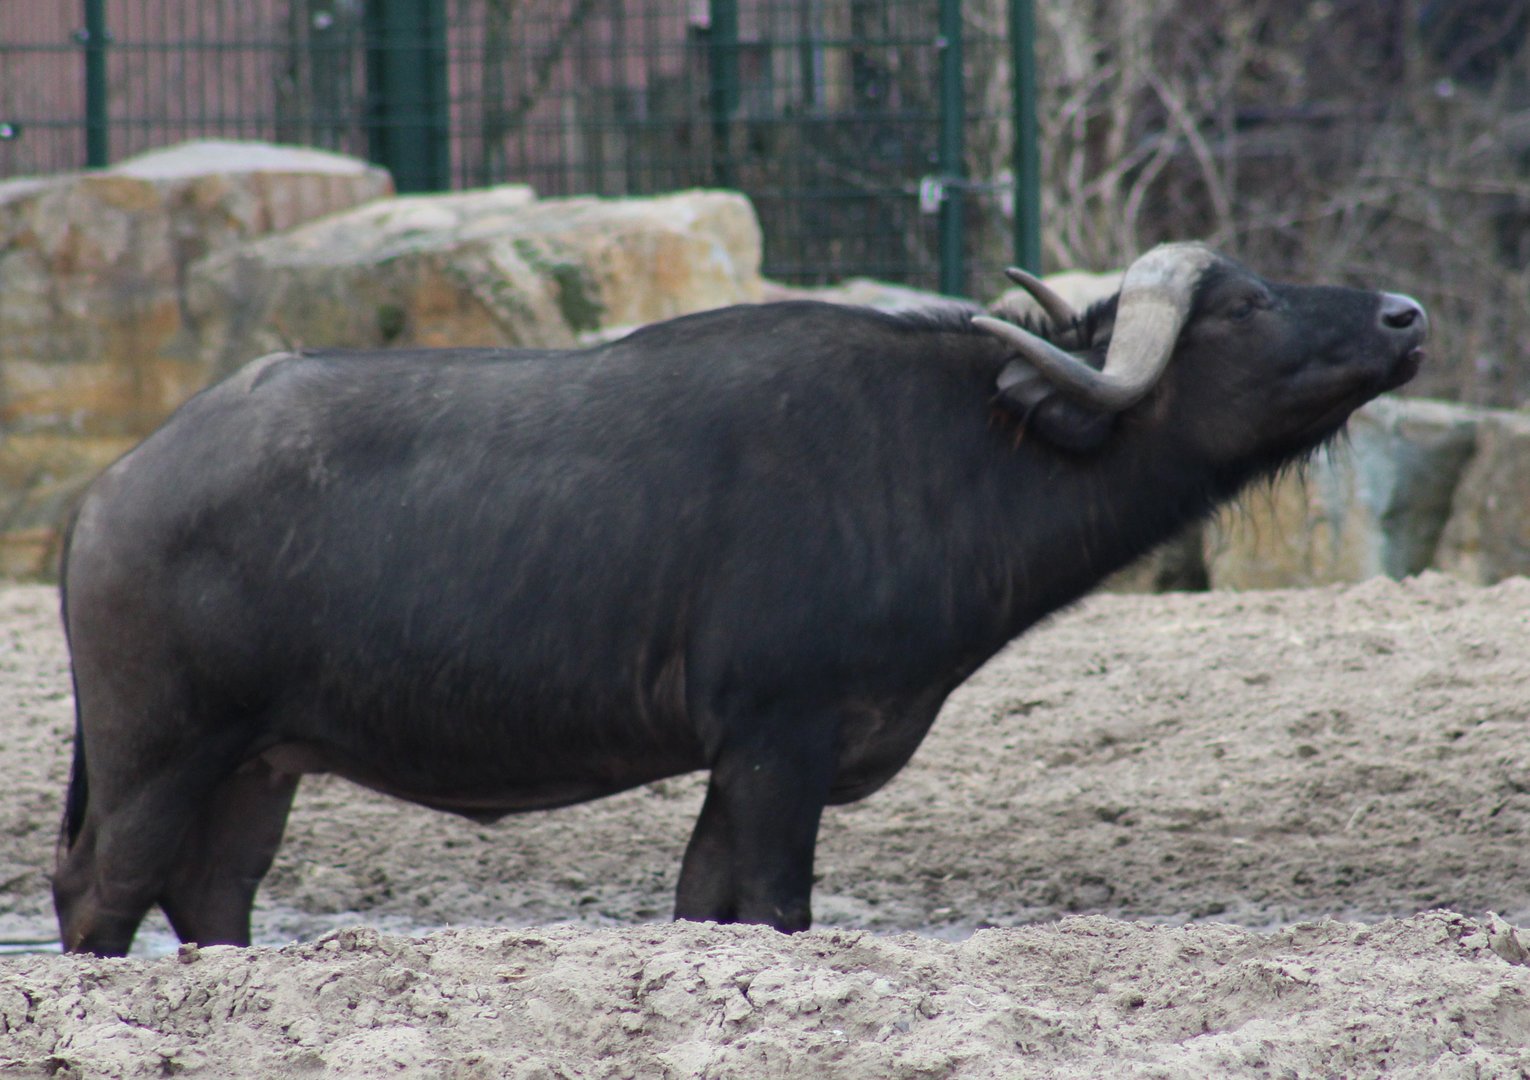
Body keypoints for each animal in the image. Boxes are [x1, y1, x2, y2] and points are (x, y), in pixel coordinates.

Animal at [52, 243, 1427, 954]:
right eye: (1244, 303)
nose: (1405, 313)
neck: (960, 447)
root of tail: (111, 491)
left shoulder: (737, 760)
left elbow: (705, 908)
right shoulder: (781, 741)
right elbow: (777, 906)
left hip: (259, 767)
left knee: (209, 902)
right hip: (157, 753)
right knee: (98, 895)